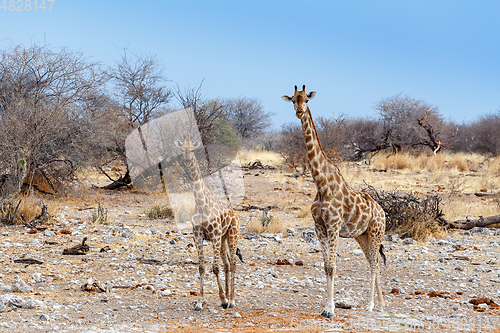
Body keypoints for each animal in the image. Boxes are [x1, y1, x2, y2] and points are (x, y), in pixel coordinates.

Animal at [174, 136, 240, 310]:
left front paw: (223, 299)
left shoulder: (214, 235)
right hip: (223, 239)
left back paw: (232, 301)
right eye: (182, 149)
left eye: (192, 148)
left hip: (232, 235)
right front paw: (199, 302)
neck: (201, 203)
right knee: (227, 264)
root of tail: (236, 214)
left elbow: (215, 268)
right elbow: (202, 268)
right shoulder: (197, 236)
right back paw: (228, 298)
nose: (187, 158)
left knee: (233, 263)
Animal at [282, 85, 386, 316]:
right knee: (373, 261)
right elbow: (326, 266)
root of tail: (383, 212)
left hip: (376, 233)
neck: (321, 185)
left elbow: (332, 266)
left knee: (374, 264)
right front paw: (326, 307)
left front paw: (330, 309)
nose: (299, 112)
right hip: (362, 236)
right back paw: (382, 304)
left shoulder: (334, 225)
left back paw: (371, 305)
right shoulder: (319, 226)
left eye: (307, 100)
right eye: (293, 99)